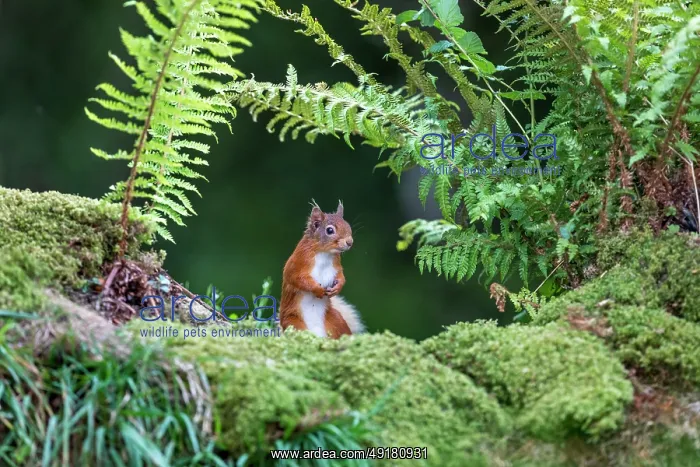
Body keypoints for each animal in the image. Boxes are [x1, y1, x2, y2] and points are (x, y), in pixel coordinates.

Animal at [279, 201, 365, 338]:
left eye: (348, 225)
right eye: (330, 230)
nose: (349, 242)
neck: (325, 253)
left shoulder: (336, 265)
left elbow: (341, 276)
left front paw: (337, 287)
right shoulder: (297, 262)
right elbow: (296, 278)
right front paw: (317, 289)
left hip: (336, 320)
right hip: (293, 324)